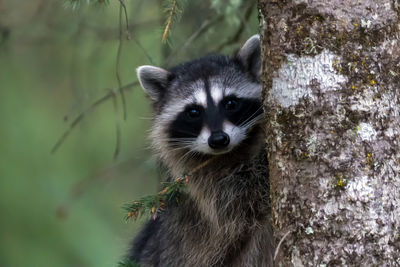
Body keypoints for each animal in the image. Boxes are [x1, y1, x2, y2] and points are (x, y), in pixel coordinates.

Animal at [127, 35, 272, 267]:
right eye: (194, 112)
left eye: (230, 103)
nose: (219, 140)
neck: (227, 154)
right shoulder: (211, 190)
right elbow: (247, 193)